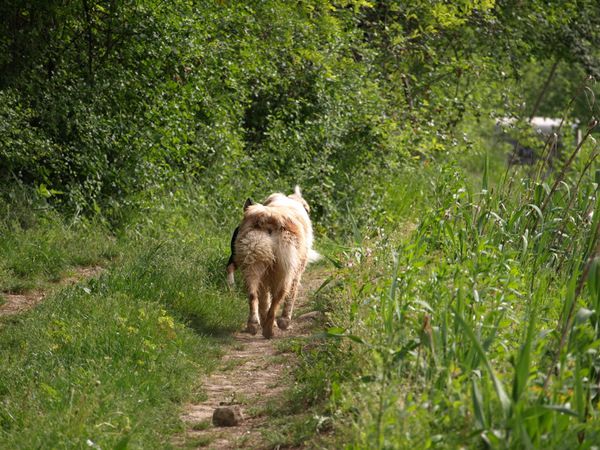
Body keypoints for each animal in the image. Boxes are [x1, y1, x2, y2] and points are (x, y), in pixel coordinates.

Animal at [226, 185, 318, 338]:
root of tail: (269, 217)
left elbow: (264, 300)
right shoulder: (297, 271)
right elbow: (290, 297)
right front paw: (283, 321)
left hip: (252, 262)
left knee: (253, 295)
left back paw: (254, 324)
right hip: (286, 271)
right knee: (277, 298)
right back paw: (269, 330)